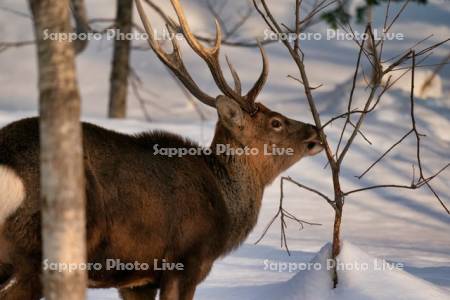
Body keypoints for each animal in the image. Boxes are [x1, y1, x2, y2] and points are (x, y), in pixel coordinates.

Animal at [0, 1, 324, 298]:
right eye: (276, 122)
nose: (316, 132)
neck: (226, 205)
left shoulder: (136, 280)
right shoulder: (186, 261)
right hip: (39, 250)